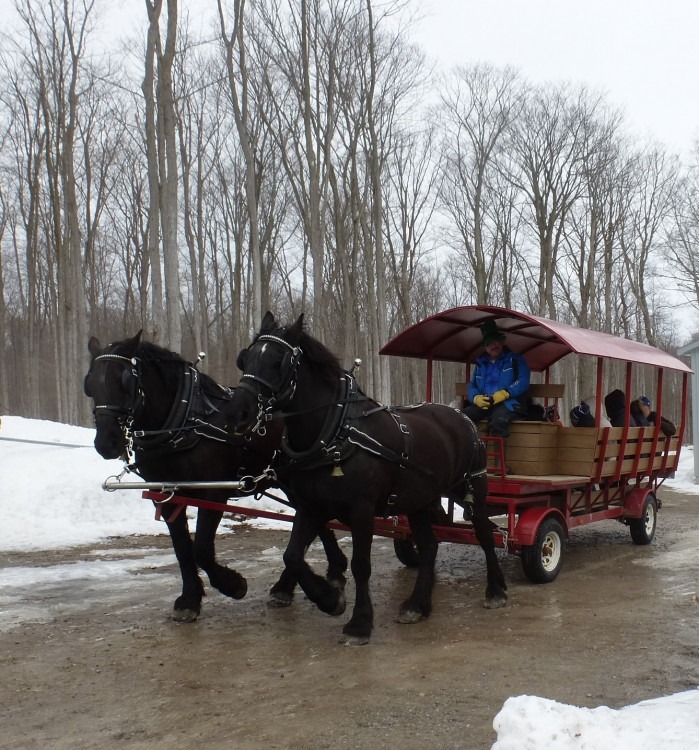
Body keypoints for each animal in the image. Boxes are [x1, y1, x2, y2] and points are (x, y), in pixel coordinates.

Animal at [85, 334, 348, 624]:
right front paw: (189, 600)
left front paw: (233, 585)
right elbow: (182, 549)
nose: (106, 443)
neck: (184, 422)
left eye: (123, 381)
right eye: (90, 384)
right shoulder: (167, 494)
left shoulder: (213, 493)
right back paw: (322, 576)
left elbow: (201, 548)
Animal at [230, 312, 508, 648]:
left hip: (471, 487)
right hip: (420, 498)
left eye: (277, 362)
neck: (334, 433)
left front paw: (360, 623)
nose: (238, 412)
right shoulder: (310, 507)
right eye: (245, 359)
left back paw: (495, 590)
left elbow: (361, 565)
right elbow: (292, 555)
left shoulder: (361, 509)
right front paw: (329, 599)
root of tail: (462, 415)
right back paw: (417, 605)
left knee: (484, 534)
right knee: (430, 545)